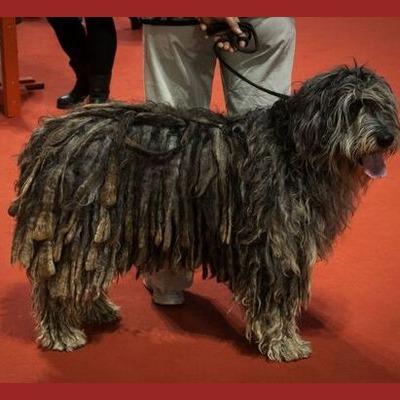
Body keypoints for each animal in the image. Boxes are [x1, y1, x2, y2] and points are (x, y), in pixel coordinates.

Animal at [7, 64, 398, 360]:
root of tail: (49, 134)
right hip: (78, 227)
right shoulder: (276, 245)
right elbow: (276, 300)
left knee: (80, 275)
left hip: (95, 232)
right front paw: (284, 343)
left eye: (382, 106)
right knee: (57, 284)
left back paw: (94, 309)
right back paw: (62, 332)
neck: (295, 148)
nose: (386, 137)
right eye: (354, 107)